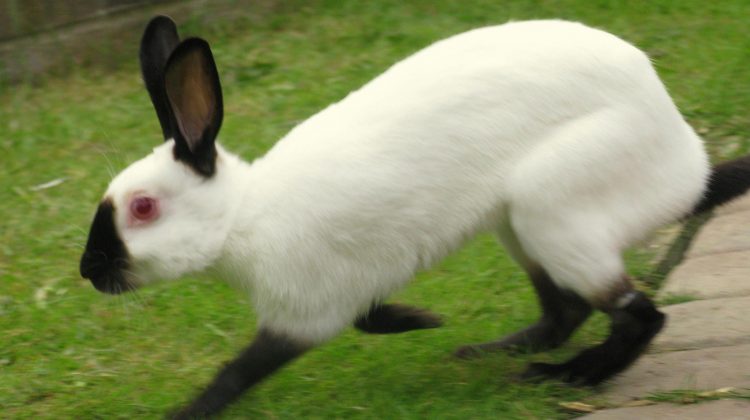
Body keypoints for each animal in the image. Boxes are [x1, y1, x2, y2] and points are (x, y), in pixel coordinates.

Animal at [79, 14, 750, 418]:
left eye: (143, 208)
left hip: (552, 210)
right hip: (518, 224)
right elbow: (369, 317)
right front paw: (420, 320)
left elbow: (237, 372)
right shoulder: (340, 291)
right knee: (567, 310)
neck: (245, 216)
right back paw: (486, 355)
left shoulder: (300, 315)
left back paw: (563, 378)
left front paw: (187, 412)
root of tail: (687, 170)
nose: (89, 271)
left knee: (639, 317)